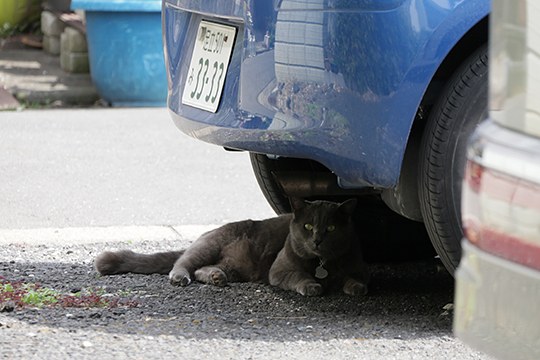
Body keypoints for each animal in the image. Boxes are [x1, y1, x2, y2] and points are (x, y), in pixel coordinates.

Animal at [95, 198, 370, 296]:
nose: (317, 240)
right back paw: (181, 277)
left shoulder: (354, 264)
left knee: (202, 269)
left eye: (331, 228)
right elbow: (299, 276)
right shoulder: (279, 270)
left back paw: (217, 277)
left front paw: (356, 287)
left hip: (236, 265)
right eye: (308, 226)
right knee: (183, 263)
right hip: (210, 245)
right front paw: (312, 286)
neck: (322, 263)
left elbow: (352, 277)